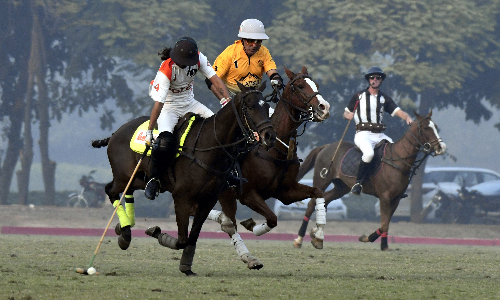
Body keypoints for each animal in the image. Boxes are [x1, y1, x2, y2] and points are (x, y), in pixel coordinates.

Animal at [92, 81, 276, 274]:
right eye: (250, 106)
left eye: (267, 106)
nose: (269, 136)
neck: (210, 146)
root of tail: (115, 134)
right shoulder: (181, 197)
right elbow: (181, 239)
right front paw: (154, 232)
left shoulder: (208, 198)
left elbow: (192, 236)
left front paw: (186, 266)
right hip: (124, 177)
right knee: (110, 190)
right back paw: (125, 233)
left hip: (137, 178)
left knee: (126, 192)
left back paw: (123, 229)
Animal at [207, 66, 332, 268]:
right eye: (300, 86)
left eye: (317, 85)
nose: (324, 107)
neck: (275, 149)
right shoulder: (247, 194)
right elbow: (272, 218)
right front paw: (252, 226)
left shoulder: (285, 191)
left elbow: (318, 192)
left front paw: (319, 235)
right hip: (224, 193)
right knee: (229, 222)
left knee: (224, 219)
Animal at [292, 111, 446, 250]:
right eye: (426, 128)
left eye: (435, 126)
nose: (441, 148)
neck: (398, 160)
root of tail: (326, 146)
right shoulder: (385, 197)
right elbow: (384, 224)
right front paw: (384, 246)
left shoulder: (396, 199)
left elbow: (385, 224)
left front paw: (367, 238)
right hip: (322, 180)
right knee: (312, 204)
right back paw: (299, 239)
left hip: (341, 187)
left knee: (326, 200)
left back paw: (317, 236)